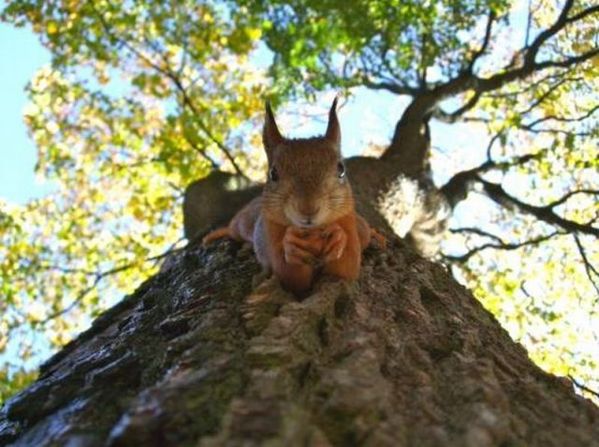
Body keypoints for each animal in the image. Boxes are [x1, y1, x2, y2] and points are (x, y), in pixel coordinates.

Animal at [204, 98, 386, 296]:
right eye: (273, 173)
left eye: (341, 169)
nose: (308, 209)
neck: (313, 233)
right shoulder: (270, 233)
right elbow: (290, 278)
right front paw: (291, 245)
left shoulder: (349, 224)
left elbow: (347, 268)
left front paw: (339, 237)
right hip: (245, 223)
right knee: (233, 228)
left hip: (360, 227)